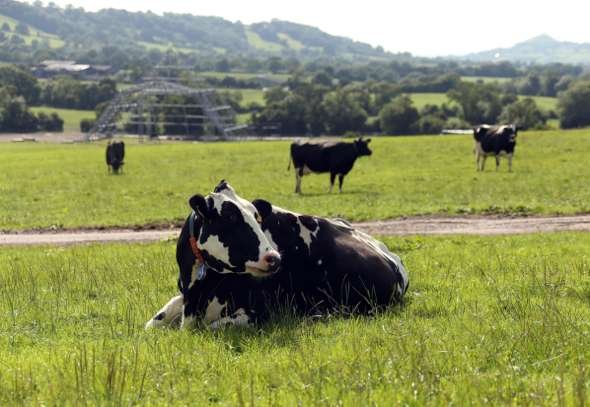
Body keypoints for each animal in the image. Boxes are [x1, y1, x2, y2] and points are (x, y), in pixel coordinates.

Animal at [146, 182, 410, 332]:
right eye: (230, 217)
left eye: (257, 217)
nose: (274, 258)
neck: (197, 290)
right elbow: (153, 323)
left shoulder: (258, 313)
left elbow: (211, 328)